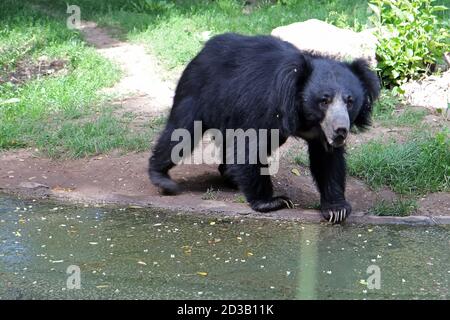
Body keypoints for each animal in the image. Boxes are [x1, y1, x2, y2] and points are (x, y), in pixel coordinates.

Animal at [149, 32, 380, 222]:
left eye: (350, 101)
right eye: (324, 100)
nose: (341, 130)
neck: (306, 116)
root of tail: (203, 50)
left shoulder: (321, 131)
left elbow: (327, 159)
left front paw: (336, 209)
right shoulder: (267, 105)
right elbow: (249, 146)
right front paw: (273, 201)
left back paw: (230, 175)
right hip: (197, 91)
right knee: (181, 132)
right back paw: (162, 179)